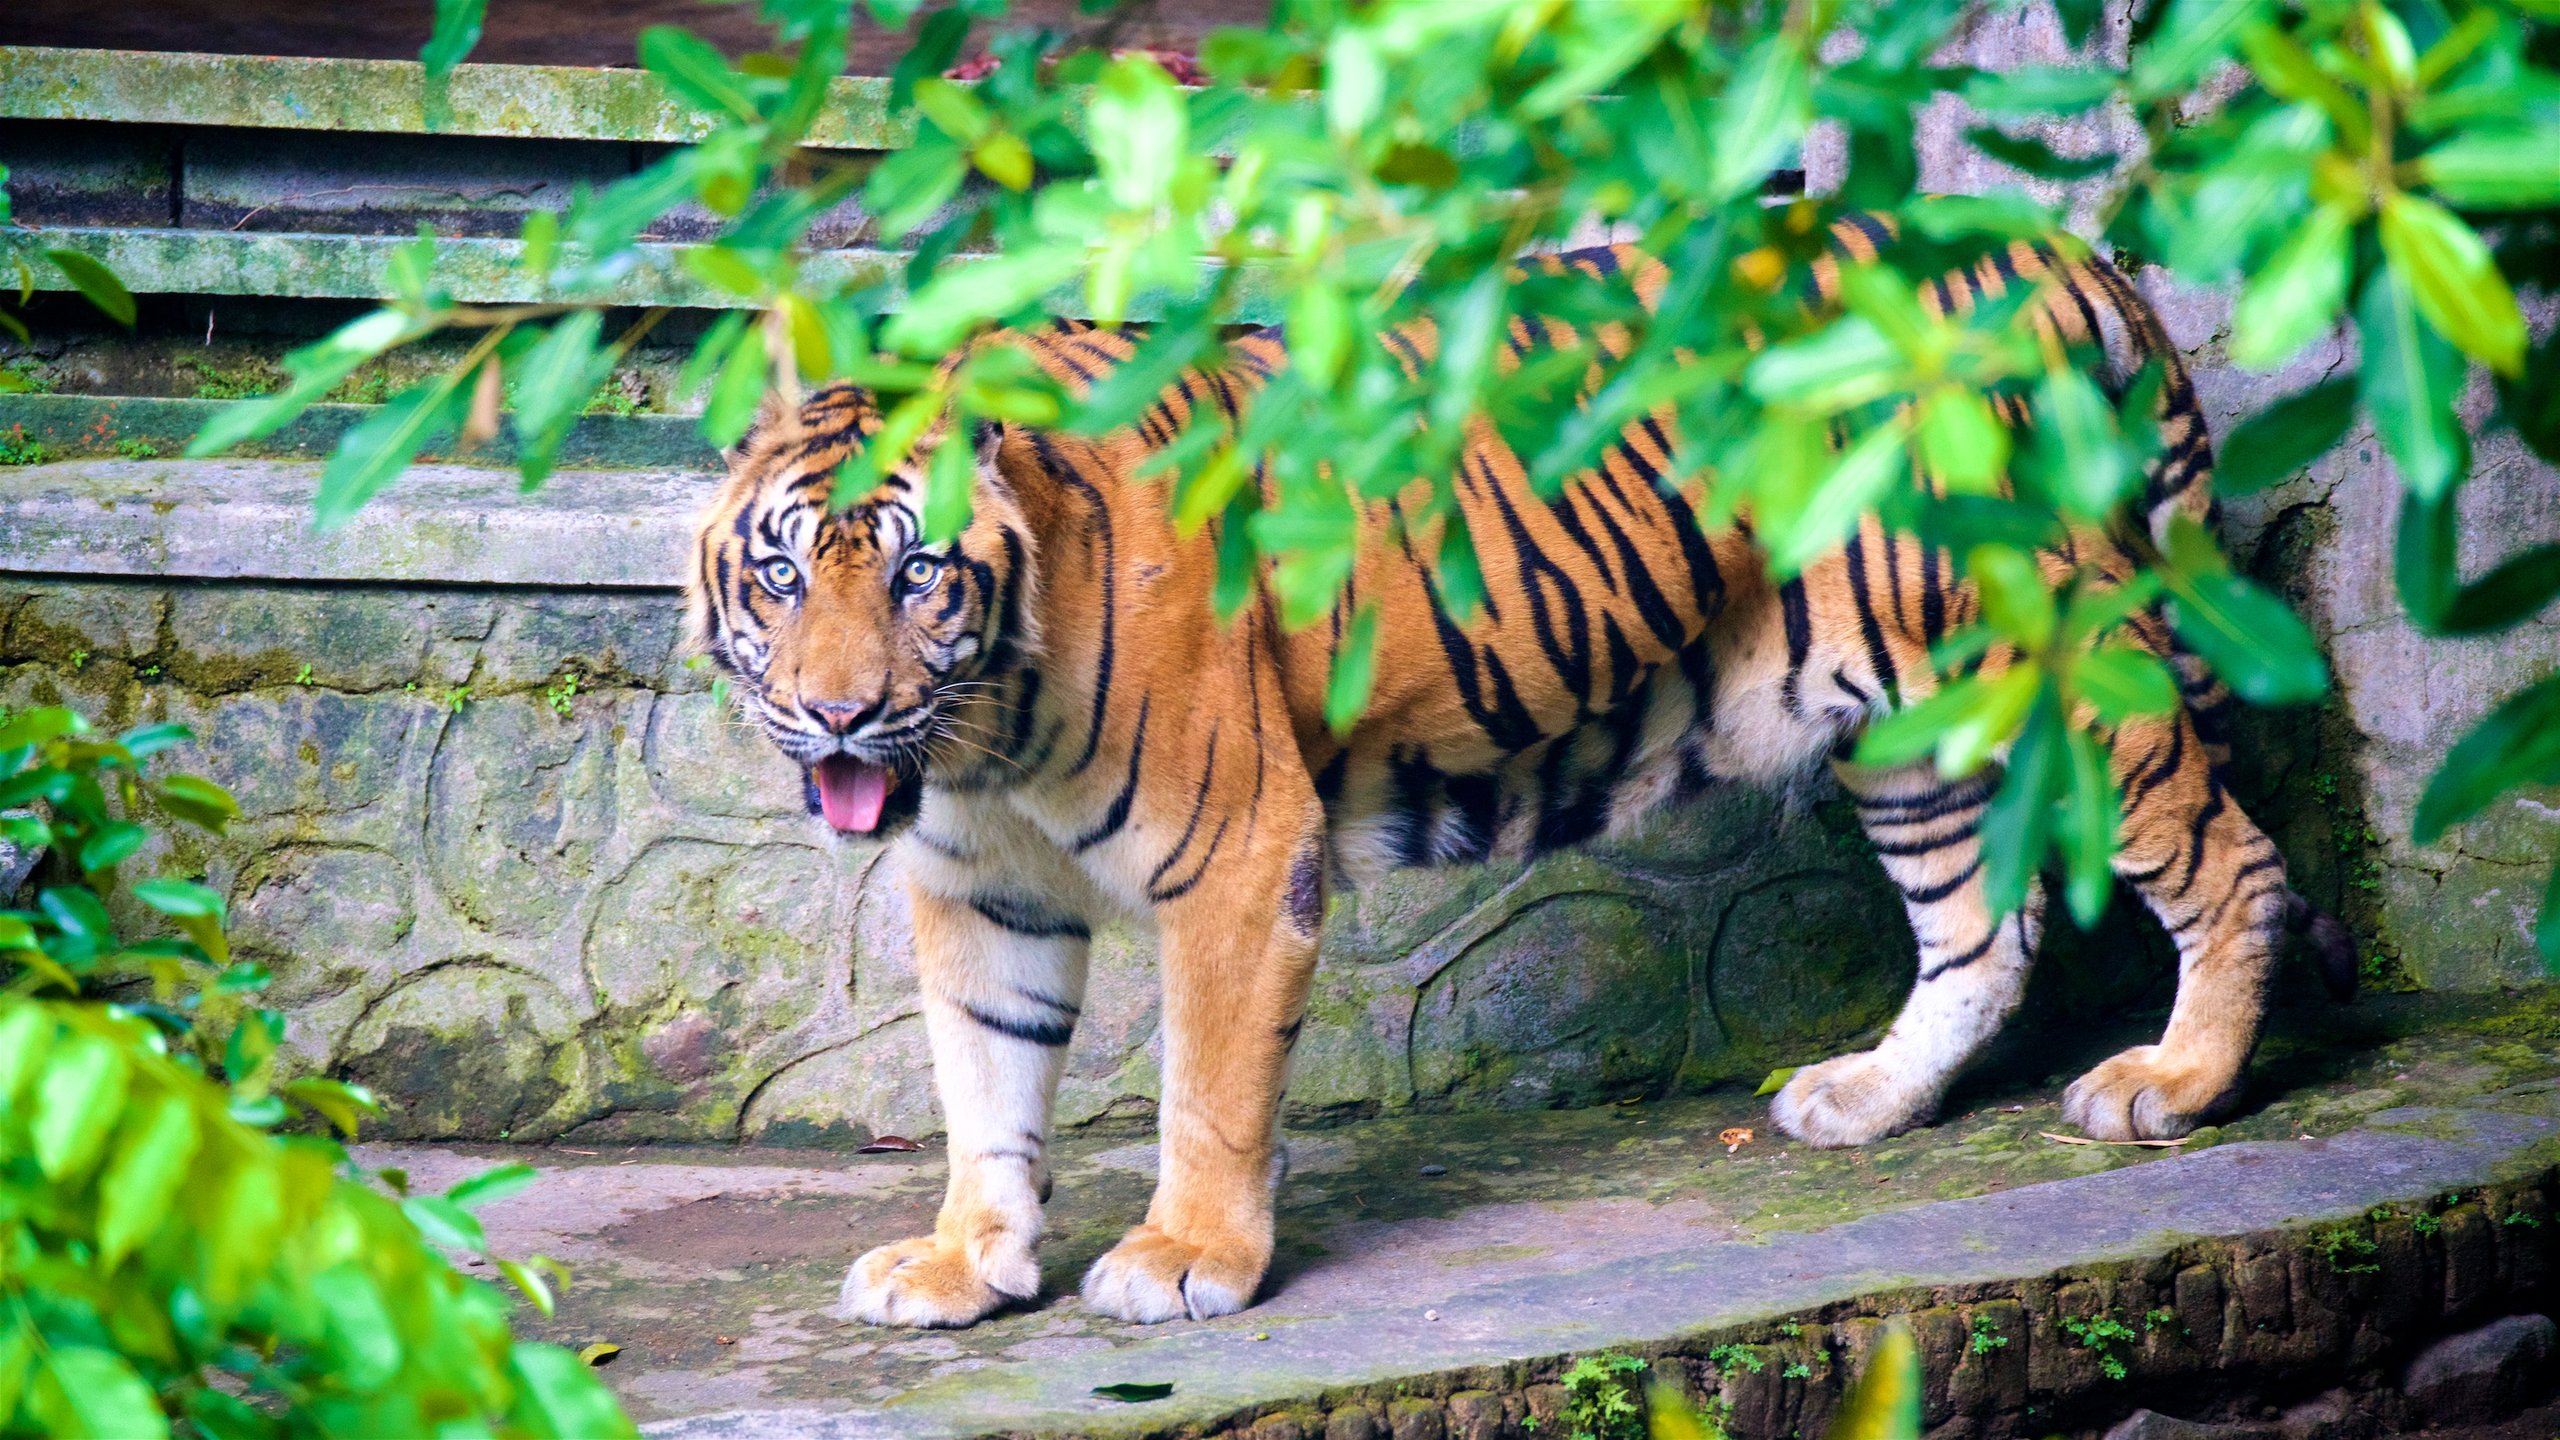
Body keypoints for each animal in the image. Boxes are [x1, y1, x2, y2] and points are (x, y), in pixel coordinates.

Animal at [691, 215, 2344, 1322]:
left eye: (919, 578)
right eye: (784, 575)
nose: (838, 717)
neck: (985, 739)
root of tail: (2062, 249)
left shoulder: (1235, 852)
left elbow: (1206, 1089)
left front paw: (1188, 1260)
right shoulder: (982, 891)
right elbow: (987, 1079)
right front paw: (966, 1261)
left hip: (2050, 653)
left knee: (2230, 857)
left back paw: (2173, 1085)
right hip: (1900, 715)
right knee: (1979, 930)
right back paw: (1867, 1099)